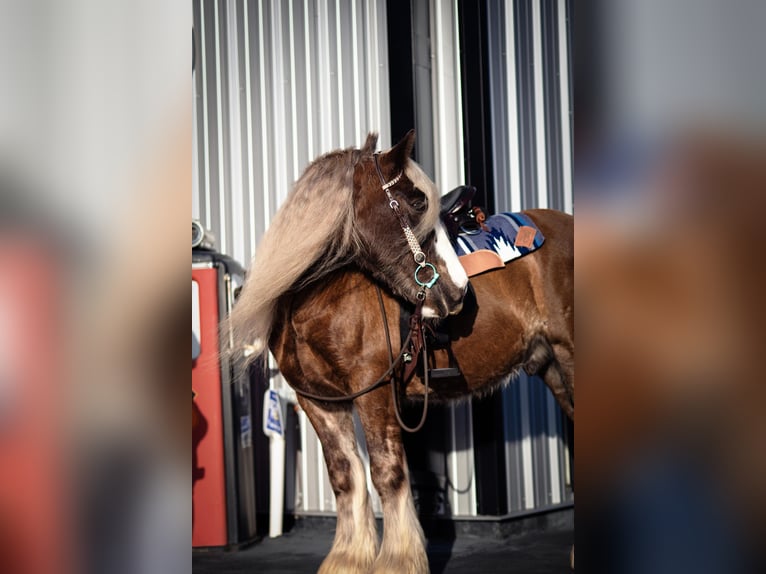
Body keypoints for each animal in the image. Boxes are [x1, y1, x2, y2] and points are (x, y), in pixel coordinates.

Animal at [231, 132, 572, 574]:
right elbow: (345, 477)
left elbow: (386, 474)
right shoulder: (319, 402)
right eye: (416, 203)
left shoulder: (373, 392)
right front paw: (347, 559)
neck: (317, 302)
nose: (459, 292)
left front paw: (397, 559)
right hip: (552, 365)